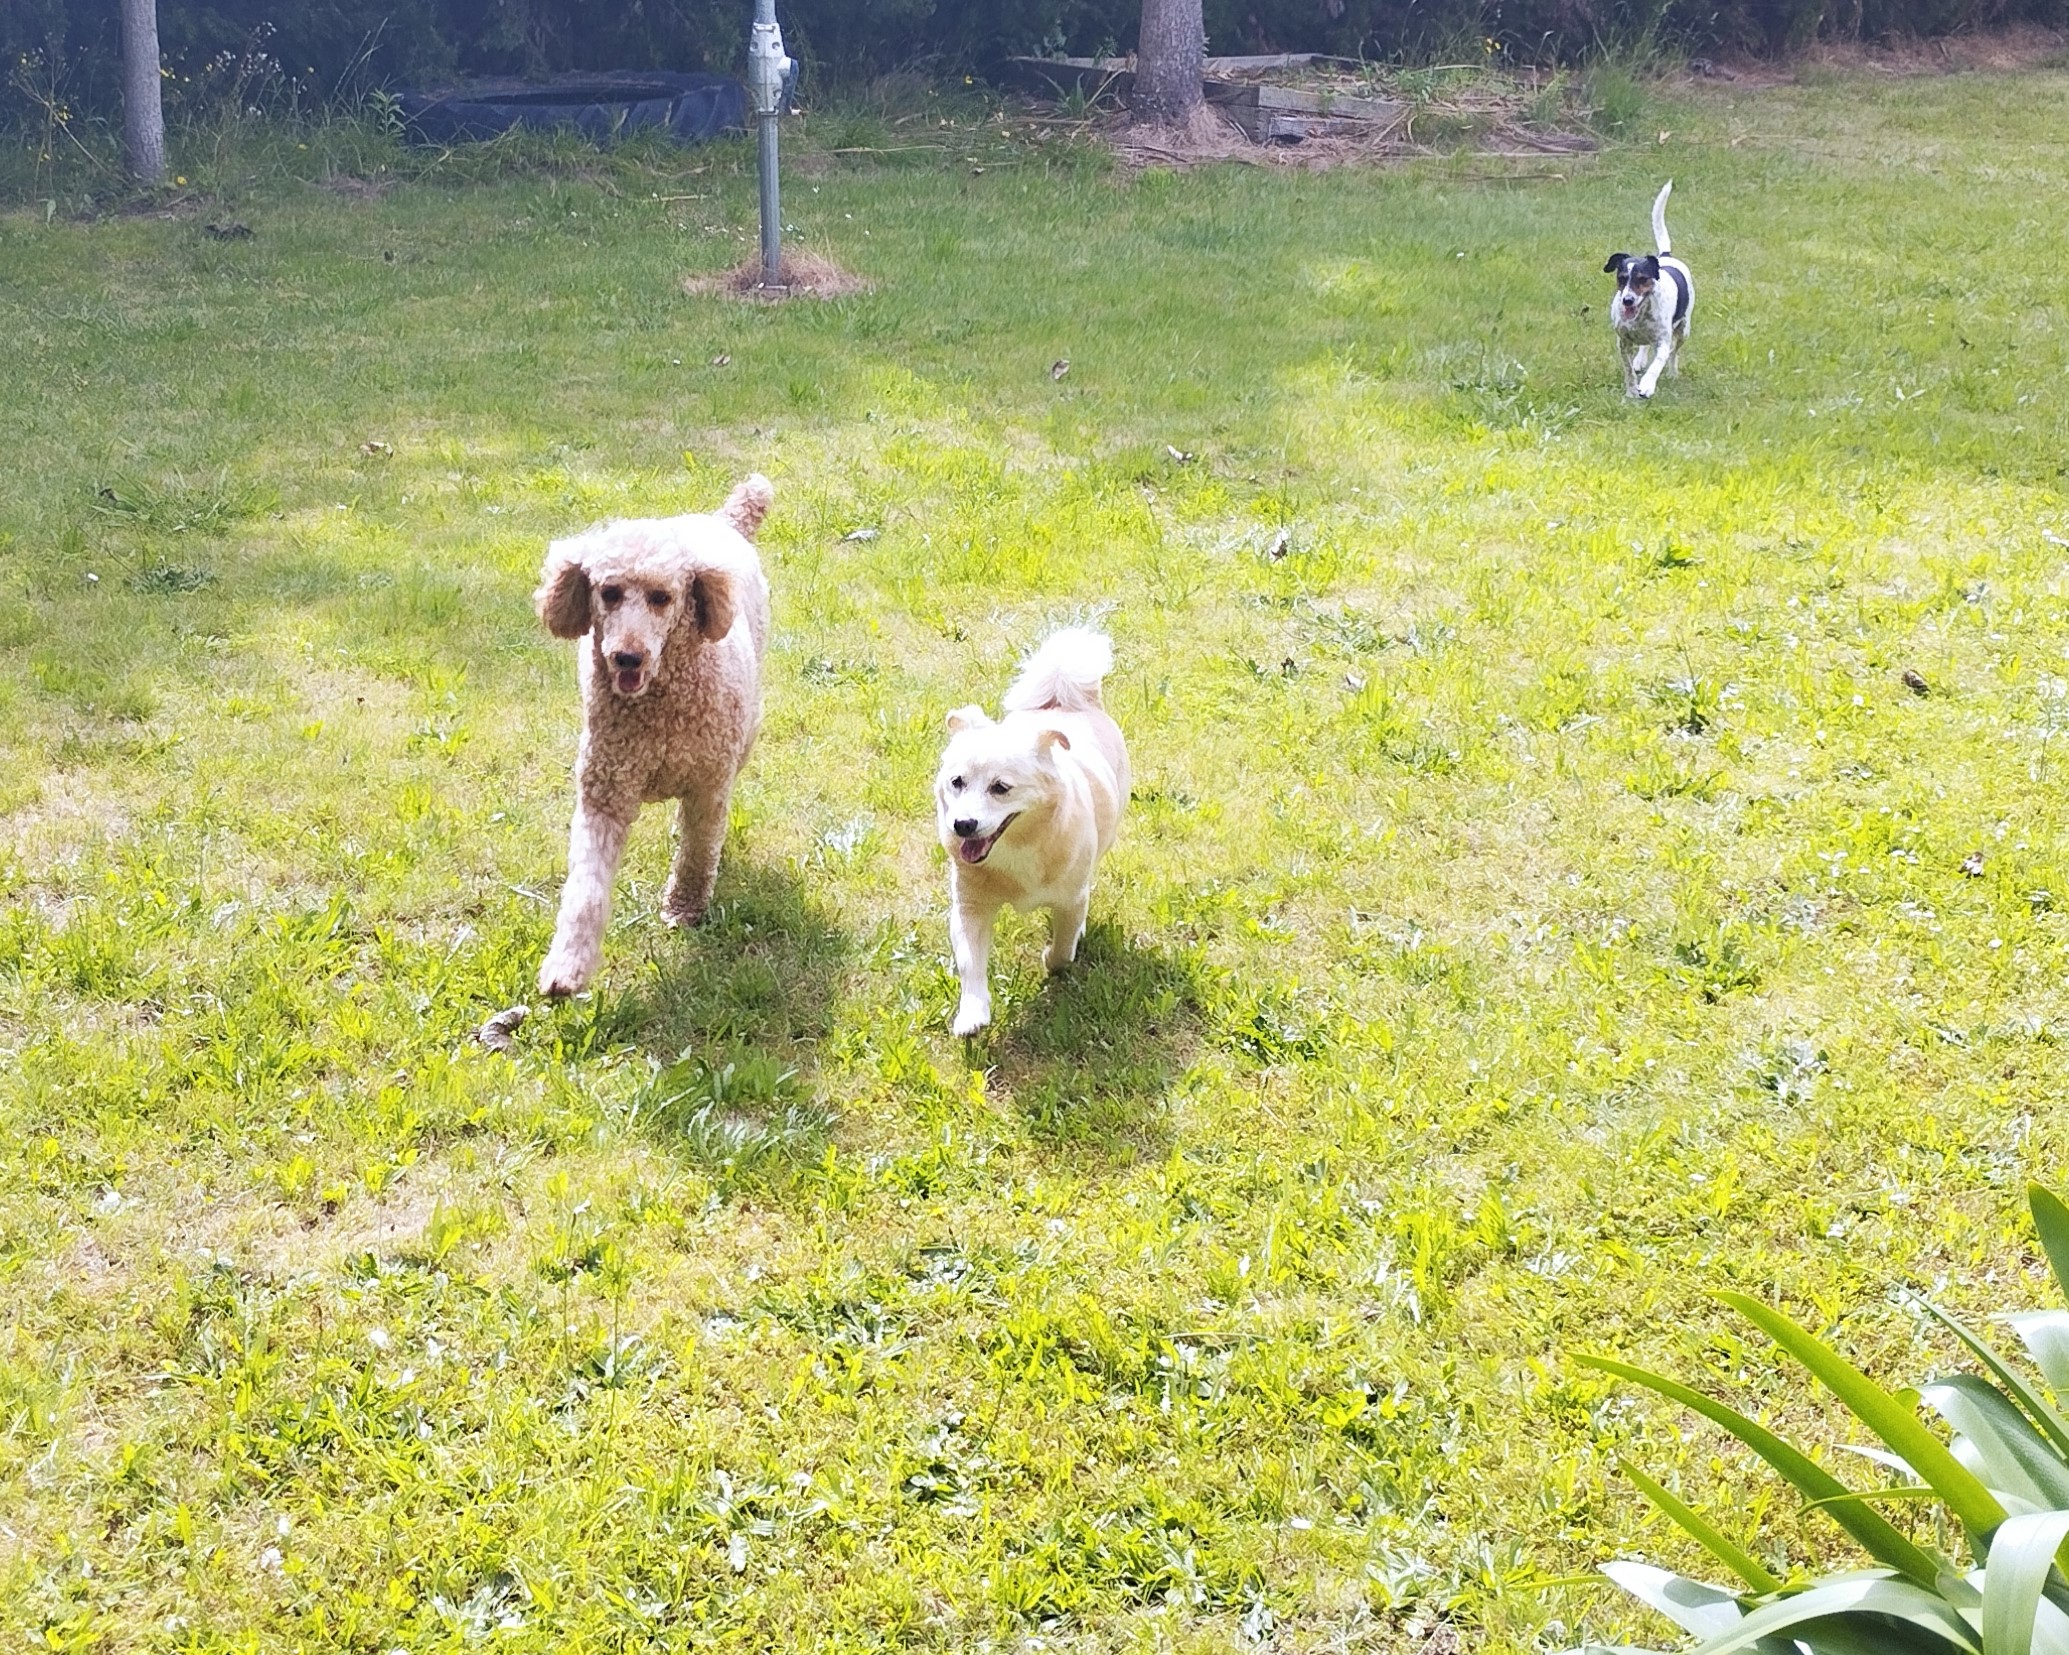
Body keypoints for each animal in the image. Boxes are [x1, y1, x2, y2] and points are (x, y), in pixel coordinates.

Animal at [939, 628, 1133, 1034]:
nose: (963, 825)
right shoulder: (970, 906)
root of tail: (1068, 700)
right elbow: (970, 962)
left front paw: (1052, 956)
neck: (1018, 845)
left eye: (1001, 788)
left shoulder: (1071, 899)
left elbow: (1063, 951)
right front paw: (973, 1011)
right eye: (957, 782)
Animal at [1597, 182, 1696, 401]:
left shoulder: (1662, 341)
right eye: (1622, 277)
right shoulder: (1623, 342)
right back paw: (1640, 360)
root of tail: (1665, 255)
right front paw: (1632, 388)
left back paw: (1672, 372)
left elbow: (1657, 363)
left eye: (1642, 279)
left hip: (1684, 330)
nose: (1627, 300)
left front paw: (1647, 385)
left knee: (1673, 353)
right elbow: (1628, 369)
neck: (1641, 315)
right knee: (1644, 346)